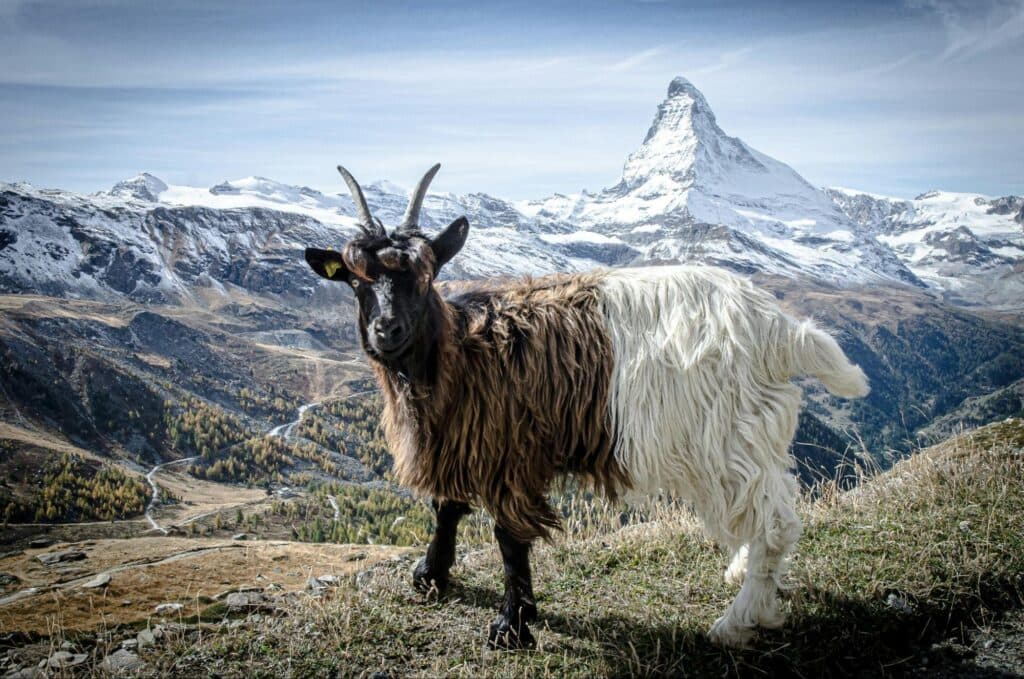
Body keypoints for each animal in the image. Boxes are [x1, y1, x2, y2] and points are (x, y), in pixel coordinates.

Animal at [304, 164, 869, 650]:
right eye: (354, 279)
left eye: (425, 276)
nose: (387, 330)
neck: (460, 350)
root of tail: (778, 327)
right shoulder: (465, 439)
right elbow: (447, 507)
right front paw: (431, 577)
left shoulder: (510, 452)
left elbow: (508, 538)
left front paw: (511, 626)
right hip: (749, 439)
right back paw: (743, 575)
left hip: (727, 437)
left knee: (776, 523)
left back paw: (740, 620)